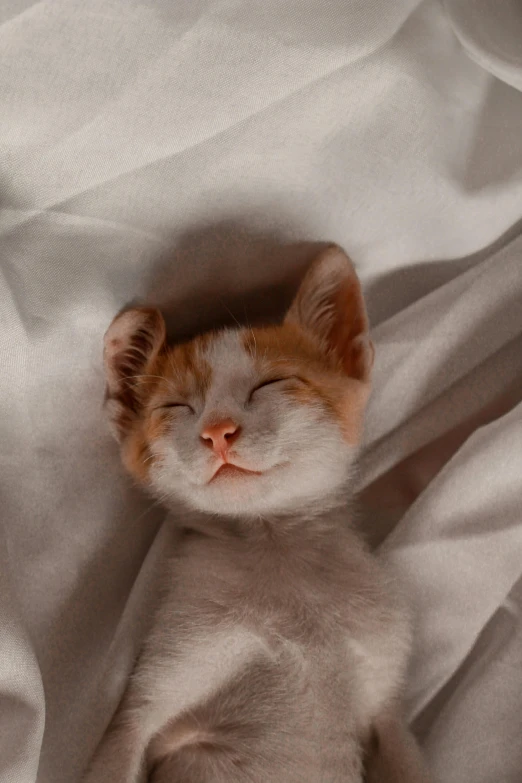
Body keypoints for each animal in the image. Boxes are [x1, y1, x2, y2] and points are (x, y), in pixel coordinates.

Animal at [84, 247, 426, 783]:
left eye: (271, 383)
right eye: (177, 407)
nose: (218, 431)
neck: (276, 551)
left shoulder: (384, 703)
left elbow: (405, 753)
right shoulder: (153, 694)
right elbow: (122, 745)